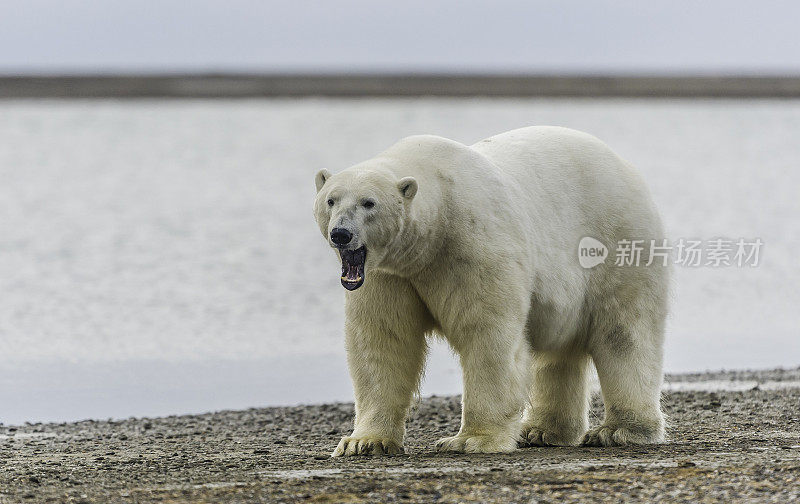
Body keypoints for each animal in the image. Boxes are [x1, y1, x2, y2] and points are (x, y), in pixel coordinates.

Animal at [312, 127, 668, 456]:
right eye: (331, 200)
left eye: (368, 203)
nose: (341, 234)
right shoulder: (388, 274)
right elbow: (383, 340)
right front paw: (363, 442)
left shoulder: (471, 245)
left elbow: (487, 334)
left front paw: (470, 439)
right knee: (556, 352)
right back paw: (541, 431)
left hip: (617, 243)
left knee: (624, 334)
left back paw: (620, 430)